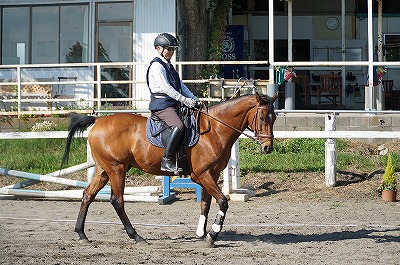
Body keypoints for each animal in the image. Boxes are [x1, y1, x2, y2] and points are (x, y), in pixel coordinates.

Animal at [61, 92, 278, 246]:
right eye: (262, 118)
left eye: (274, 117)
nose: (268, 148)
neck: (215, 130)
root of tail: (97, 121)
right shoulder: (203, 175)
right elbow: (223, 201)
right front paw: (212, 235)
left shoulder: (212, 174)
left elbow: (206, 204)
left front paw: (201, 233)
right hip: (117, 169)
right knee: (117, 201)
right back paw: (136, 236)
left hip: (103, 171)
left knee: (88, 194)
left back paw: (81, 233)